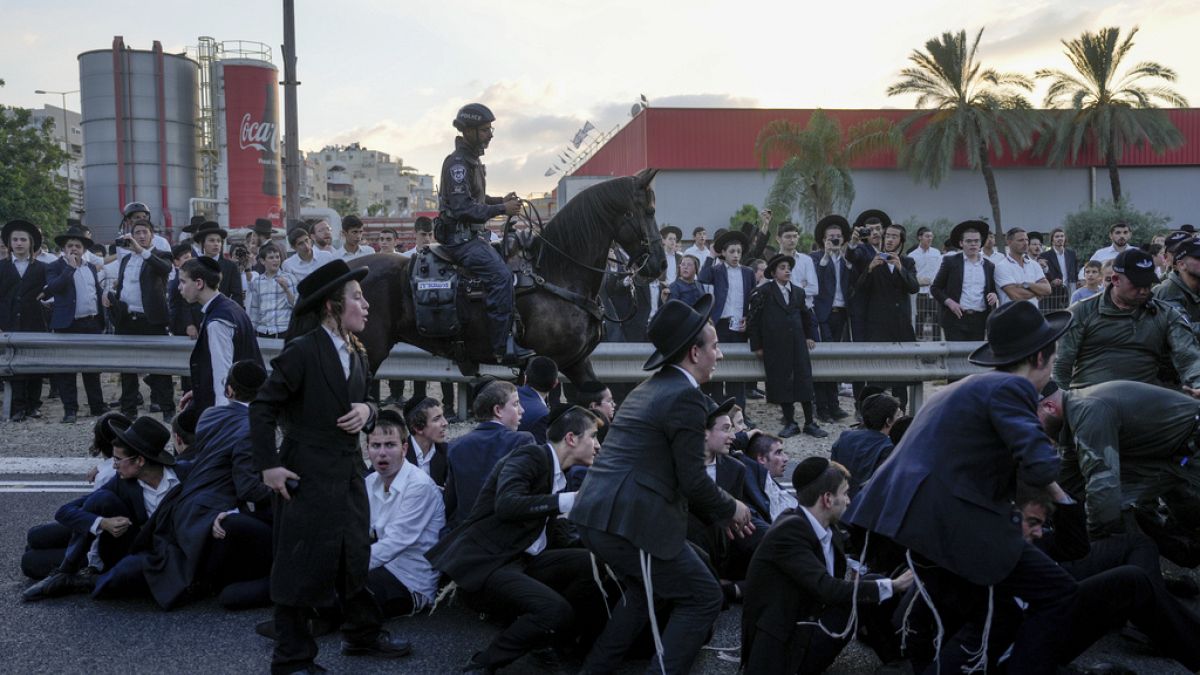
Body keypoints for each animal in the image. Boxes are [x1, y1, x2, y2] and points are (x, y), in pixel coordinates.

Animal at [350, 166, 667, 386]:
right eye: (650, 210)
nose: (660, 265)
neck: (556, 272)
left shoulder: (577, 363)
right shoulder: (549, 362)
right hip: (371, 352)